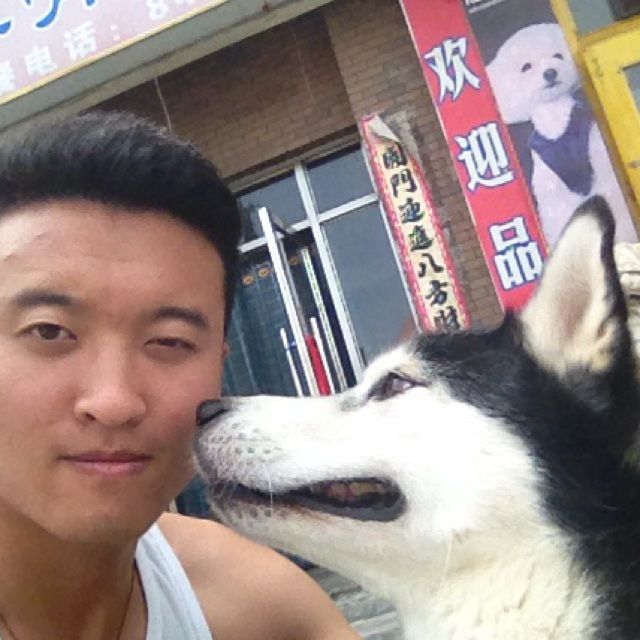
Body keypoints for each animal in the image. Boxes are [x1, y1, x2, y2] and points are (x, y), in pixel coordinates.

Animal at [487, 23, 637, 247]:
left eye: (557, 55)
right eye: (526, 67)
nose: (550, 73)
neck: (557, 122)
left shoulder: (602, 168)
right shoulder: (551, 192)